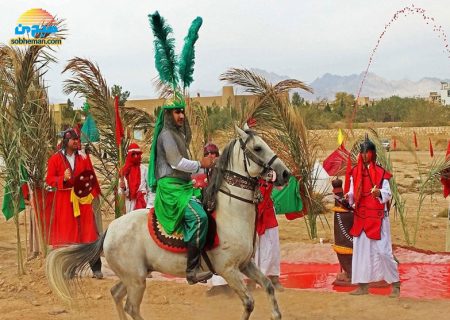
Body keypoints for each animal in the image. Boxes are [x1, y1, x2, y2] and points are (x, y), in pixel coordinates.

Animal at [46, 127, 292, 320]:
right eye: (258, 148)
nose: (285, 174)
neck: (229, 213)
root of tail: (109, 231)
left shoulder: (245, 264)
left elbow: (268, 286)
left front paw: (276, 313)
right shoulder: (228, 270)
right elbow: (249, 303)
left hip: (133, 276)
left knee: (116, 294)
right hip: (136, 280)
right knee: (131, 307)